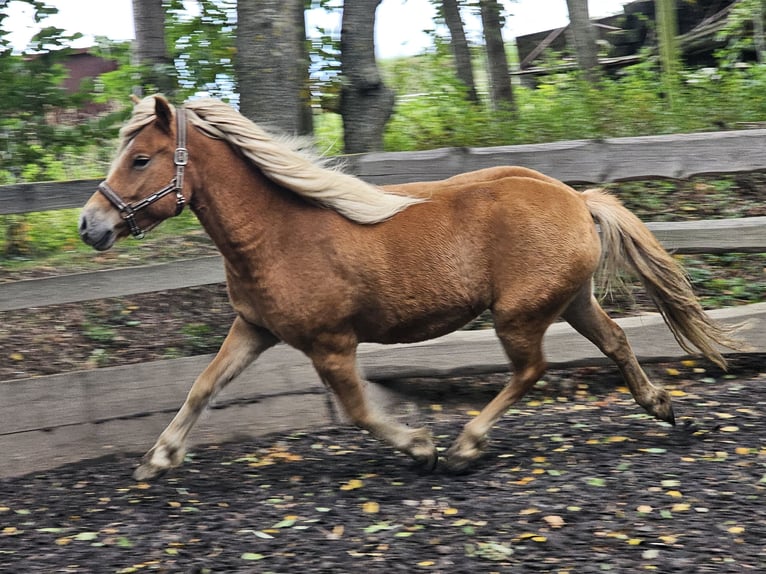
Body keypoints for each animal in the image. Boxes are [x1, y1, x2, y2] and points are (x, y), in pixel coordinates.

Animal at [81, 97, 740, 480]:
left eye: (140, 158)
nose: (91, 225)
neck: (277, 231)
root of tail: (576, 199)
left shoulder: (331, 344)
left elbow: (357, 410)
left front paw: (421, 446)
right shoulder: (255, 328)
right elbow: (203, 385)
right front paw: (157, 459)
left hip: (519, 315)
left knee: (532, 370)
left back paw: (465, 447)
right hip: (571, 301)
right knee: (615, 343)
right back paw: (662, 407)